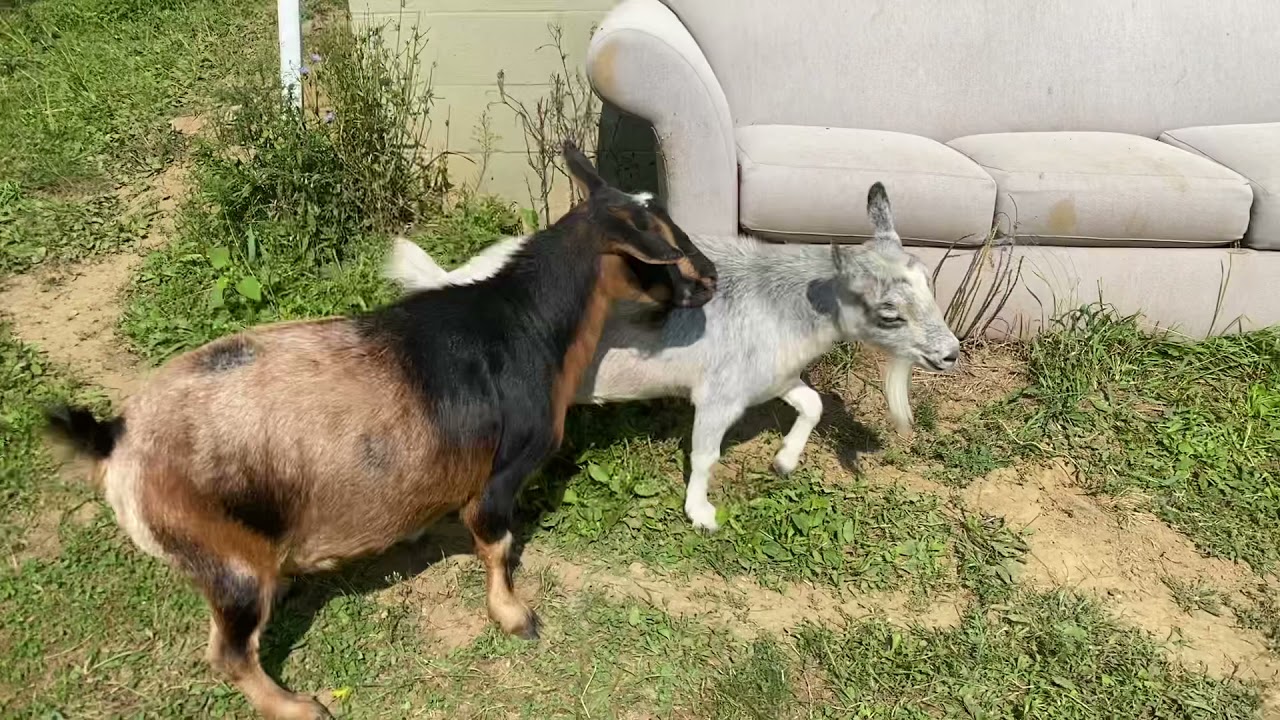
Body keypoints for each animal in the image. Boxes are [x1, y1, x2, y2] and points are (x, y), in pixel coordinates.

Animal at [42, 143, 717, 720]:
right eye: (662, 241)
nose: (711, 277)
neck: (523, 323)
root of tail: (116, 439)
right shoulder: (504, 471)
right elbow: (495, 543)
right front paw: (514, 616)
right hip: (222, 556)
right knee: (229, 651)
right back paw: (296, 705)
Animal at [386, 183, 960, 532]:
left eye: (930, 286)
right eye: (889, 313)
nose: (951, 354)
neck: (784, 300)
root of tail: (459, 281)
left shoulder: (771, 376)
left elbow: (813, 404)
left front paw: (783, 461)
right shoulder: (718, 396)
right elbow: (706, 455)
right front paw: (701, 513)